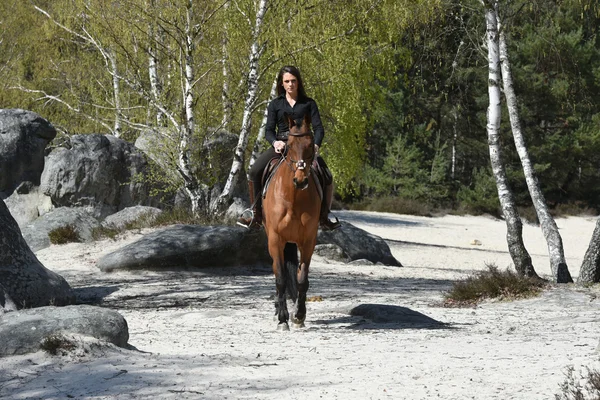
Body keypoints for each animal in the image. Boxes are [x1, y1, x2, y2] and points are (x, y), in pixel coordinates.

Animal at [262, 111, 322, 332]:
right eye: (289, 145)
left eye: (310, 144)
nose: (300, 180)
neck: (294, 198)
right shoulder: (275, 240)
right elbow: (280, 278)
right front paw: (282, 319)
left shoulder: (308, 241)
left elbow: (301, 279)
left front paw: (299, 316)